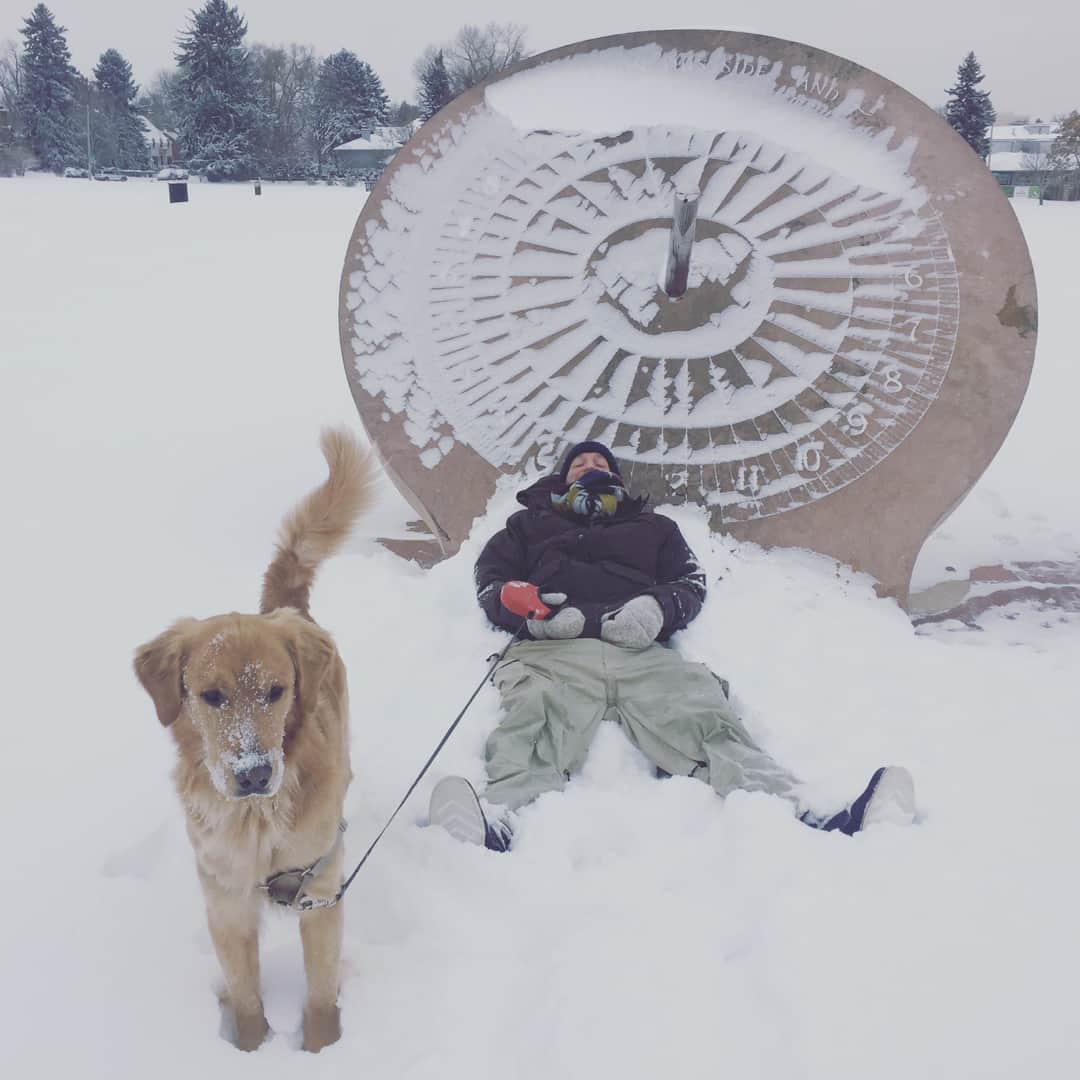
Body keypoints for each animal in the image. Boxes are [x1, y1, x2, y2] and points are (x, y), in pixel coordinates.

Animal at [134, 429, 373, 1054]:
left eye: (276, 691)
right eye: (211, 696)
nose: (253, 774)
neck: (258, 823)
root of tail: (285, 607)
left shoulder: (322, 897)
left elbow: (319, 998)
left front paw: (321, 1051)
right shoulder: (226, 905)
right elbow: (244, 998)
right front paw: (250, 1050)